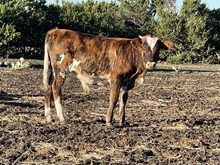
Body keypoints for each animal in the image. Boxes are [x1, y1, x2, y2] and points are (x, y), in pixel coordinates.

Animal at [43, 28, 174, 127]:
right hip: (61, 70)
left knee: (48, 87)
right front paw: (109, 122)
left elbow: (123, 100)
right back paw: (62, 118)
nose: (151, 64)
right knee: (56, 88)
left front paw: (122, 121)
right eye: (144, 48)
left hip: (52, 69)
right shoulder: (116, 78)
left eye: (158, 49)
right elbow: (114, 98)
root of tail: (55, 31)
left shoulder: (127, 81)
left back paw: (49, 117)